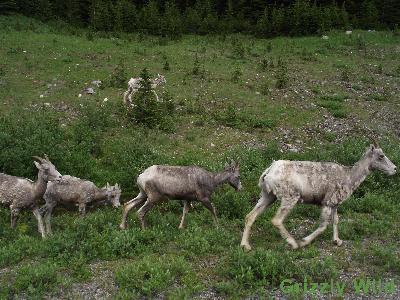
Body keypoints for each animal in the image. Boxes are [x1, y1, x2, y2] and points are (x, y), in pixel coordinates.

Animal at [241, 143, 396, 251]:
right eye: (381, 156)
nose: (394, 169)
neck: (349, 177)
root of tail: (269, 172)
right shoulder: (327, 203)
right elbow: (322, 226)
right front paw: (304, 241)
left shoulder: (334, 205)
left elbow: (336, 221)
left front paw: (337, 241)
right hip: (290, 198)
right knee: (276, 220)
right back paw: (293, 243)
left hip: (268, 196)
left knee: (250, 216)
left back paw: (245, 246)